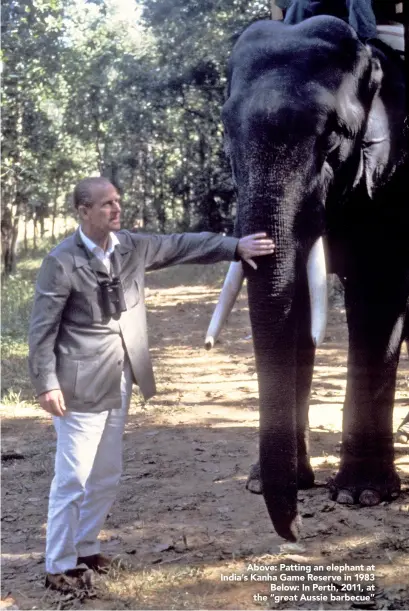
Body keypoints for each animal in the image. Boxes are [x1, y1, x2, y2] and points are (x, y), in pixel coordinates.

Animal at [206, 13, 406, 540]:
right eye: (227, 135)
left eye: (333, 136)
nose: (296, 532)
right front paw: (272, 483)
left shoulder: (394, 184)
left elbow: (377, 298)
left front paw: (361, 495)